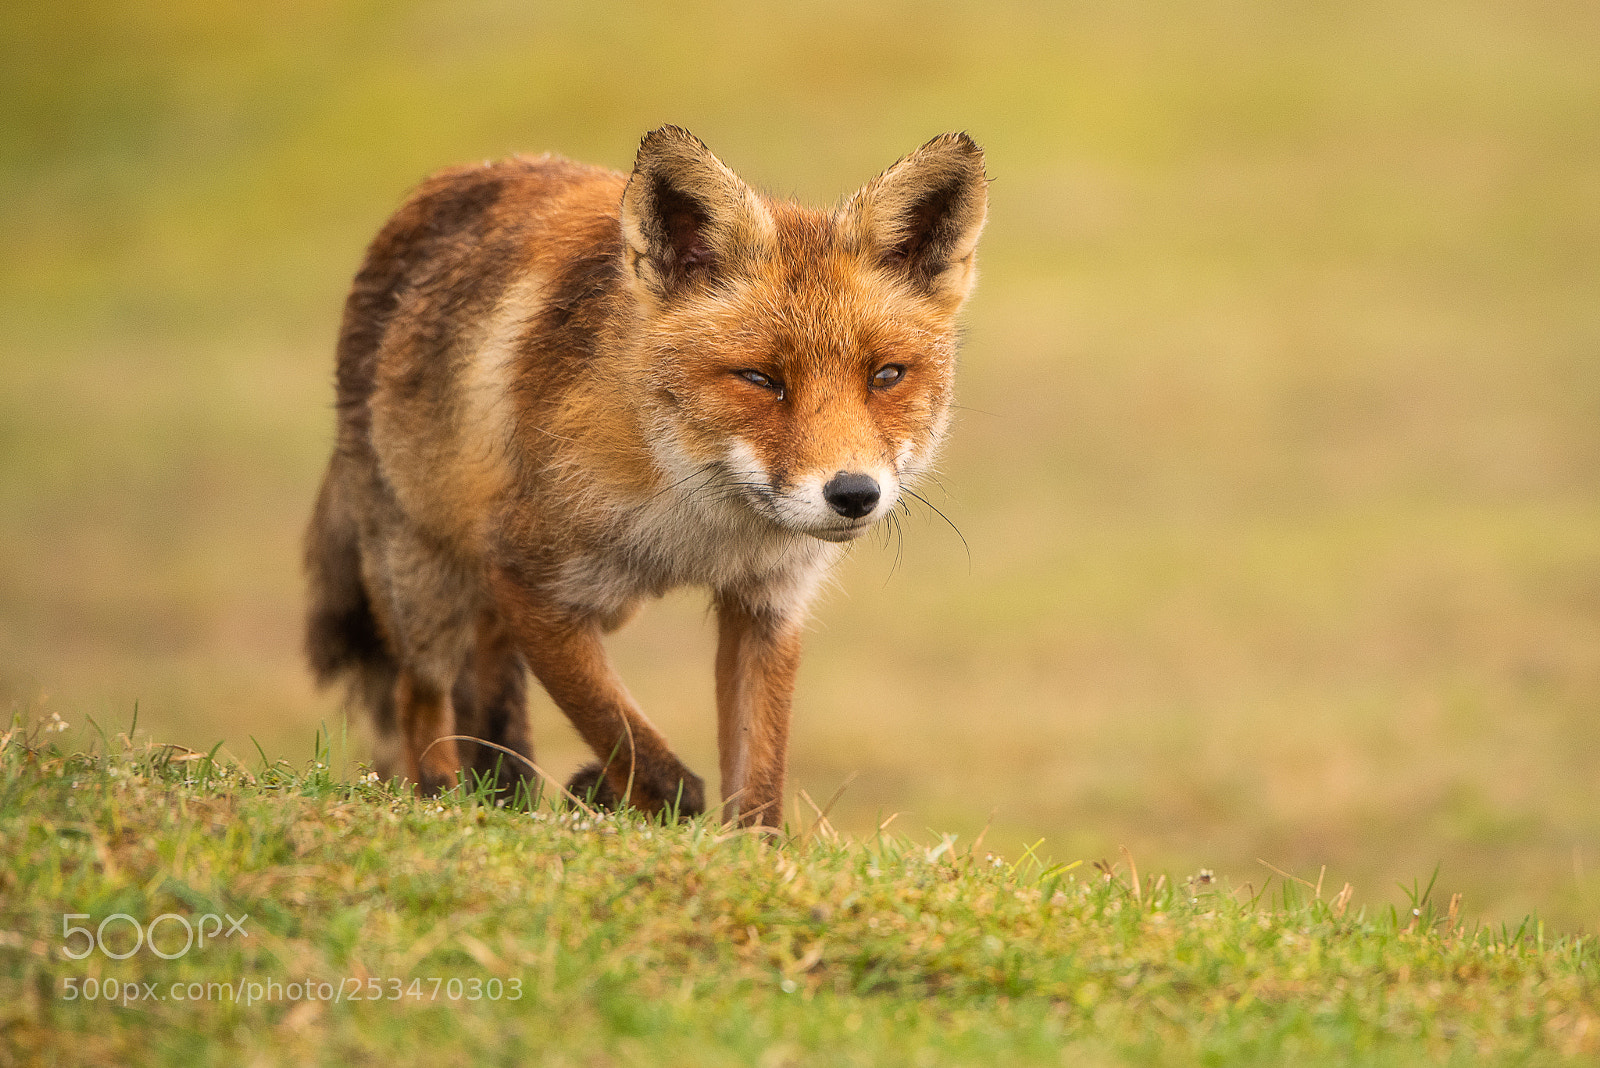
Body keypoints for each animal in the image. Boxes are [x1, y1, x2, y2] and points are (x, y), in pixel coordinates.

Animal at [303, 126, 987, 826]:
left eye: (886, 376)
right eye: (760, 378)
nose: (854, 494)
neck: (700, 527)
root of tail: (445, 181)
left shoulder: (768, 602)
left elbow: (758, 786)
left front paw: (747, 847)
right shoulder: (531, 581)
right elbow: (641, 753)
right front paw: (648, 807)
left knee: (487, 678)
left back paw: (505, 791)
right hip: (424, 586)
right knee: (420, 696)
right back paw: (444, 795)